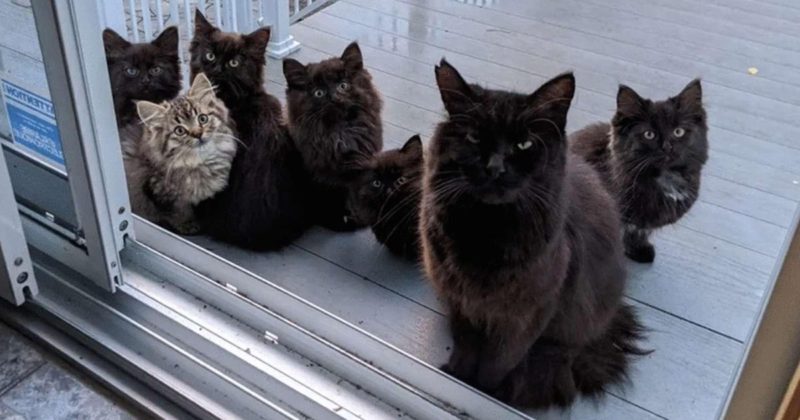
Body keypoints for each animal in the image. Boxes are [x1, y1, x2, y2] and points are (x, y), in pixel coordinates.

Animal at [122, 73, 234, 235]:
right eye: (180, 130)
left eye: (203, 118)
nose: (198, 134)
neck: (197, 163)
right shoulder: (157, 191)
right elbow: (177, 212)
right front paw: (187, 224)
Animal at [282, 42, 382, 231]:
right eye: (319, 93)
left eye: (343, 85)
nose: (335, 97)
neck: (340, 133)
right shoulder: (322, 178)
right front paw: (346, 221)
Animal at [422, 60, 648, 408]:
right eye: (473, 138)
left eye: (524, 144)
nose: (495, 167)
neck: (487, 233)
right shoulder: (460, 301)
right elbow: (466, 344)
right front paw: (458, 375)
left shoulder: (527, 315)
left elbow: (498, 362)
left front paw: (484, 391)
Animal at [568, 80, 708, 260]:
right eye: (649, 134)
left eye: (678, 132)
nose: (667, 147)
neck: (664, 179)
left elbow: (639, 232)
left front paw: (638, 249)